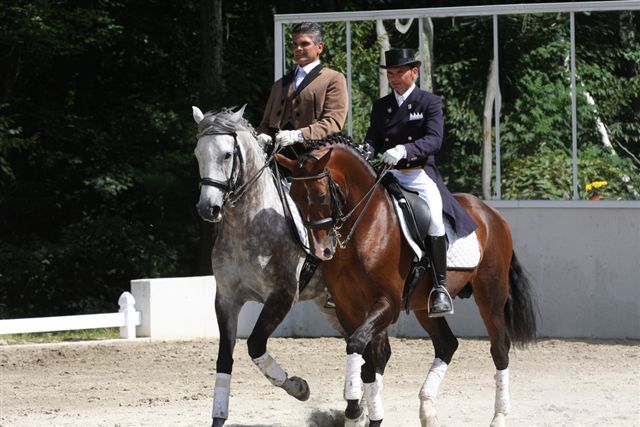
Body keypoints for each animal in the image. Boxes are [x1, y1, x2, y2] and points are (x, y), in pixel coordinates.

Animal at [191, 106, 391, 427]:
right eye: (198, 154)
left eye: (226, 154)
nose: (208, 208)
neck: (248, 222)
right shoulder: (226, 299)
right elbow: (224, 358)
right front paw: (218, 418)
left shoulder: (282, 296)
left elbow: (255, 345)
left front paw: (299, 388)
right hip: (335, 305)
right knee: (365, 347)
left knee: (378, 350)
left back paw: (361, 411)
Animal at [276, 142, 538, 427]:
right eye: (295, 198)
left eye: (322, 196)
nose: (321, 251)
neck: (366, 225)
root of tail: (491, 213)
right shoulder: (348, 308)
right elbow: (365, 358)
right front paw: (364, 414)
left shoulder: (387, 305)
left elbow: (358, 346)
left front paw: (359, 410)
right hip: (425, 306)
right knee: (447, 344)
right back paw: (428, 411)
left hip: (491, 295)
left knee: (499, 348)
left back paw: (499, 416)